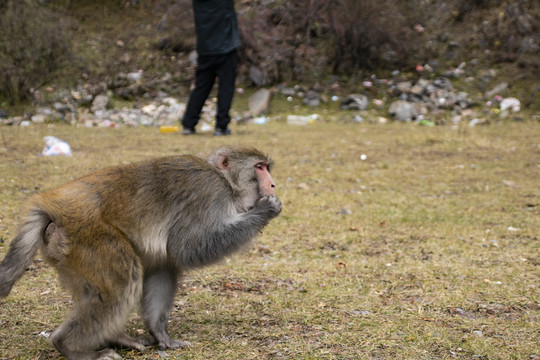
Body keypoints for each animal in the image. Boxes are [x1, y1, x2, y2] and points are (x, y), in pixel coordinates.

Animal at [0, 146, 280, 360]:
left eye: (267, 167)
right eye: (259, 167)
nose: (273, 184)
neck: (226, 182)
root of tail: (55, 205)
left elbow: (164, 267)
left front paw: (160, 334)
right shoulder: (208, 193)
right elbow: (187, 247)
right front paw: (265, 210)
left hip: (67, 251)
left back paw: (114, 337)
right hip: (89, 237)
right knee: (123, 281)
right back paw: (71, 347)